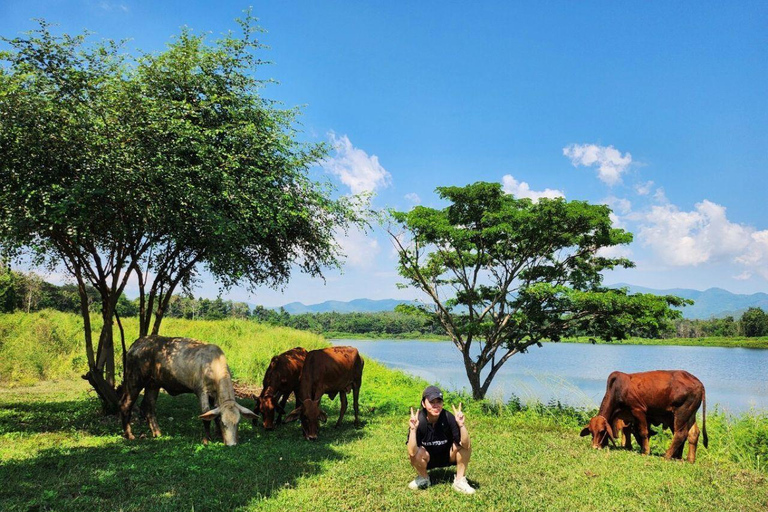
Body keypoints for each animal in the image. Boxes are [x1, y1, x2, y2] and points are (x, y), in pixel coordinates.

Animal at [120, 336, 256, 444]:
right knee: (126, 404)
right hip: (134, 380)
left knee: (149, 407)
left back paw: (157, 433)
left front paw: (218, 434)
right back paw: (129, 435)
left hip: (153, 384)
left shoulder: (215, 395)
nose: (232, 444)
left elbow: (214, 413)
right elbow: (205, 413)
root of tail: (137, 343)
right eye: (224, 423)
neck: (213, 364)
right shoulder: (202, 391)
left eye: (238, 422)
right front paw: (207, 439)